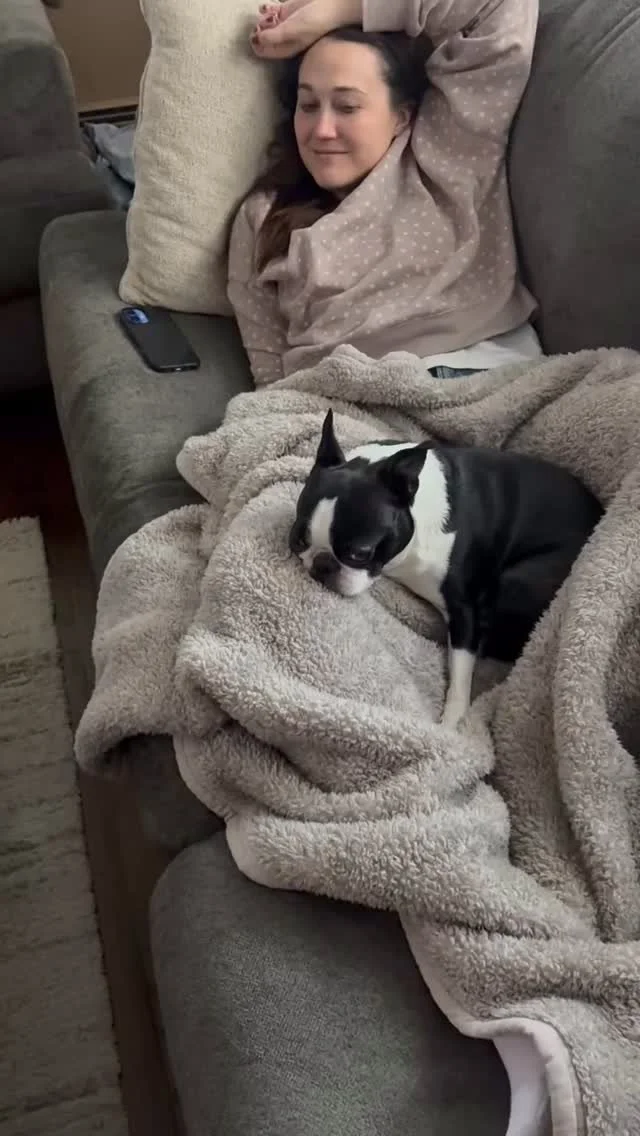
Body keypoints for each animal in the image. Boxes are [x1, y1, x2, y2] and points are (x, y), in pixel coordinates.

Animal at [289, 410, 603, 729]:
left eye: (360, 553)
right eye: (298, 540)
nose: (322, 565)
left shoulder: (465, 610)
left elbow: (462, 670)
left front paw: (452, 722)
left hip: (514, 585)